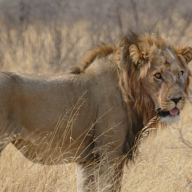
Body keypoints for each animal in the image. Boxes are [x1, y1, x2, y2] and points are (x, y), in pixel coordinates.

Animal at [0, 31, 192, 190]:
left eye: (181, 73)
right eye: (157, 75)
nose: (177, 99)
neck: (130, 91)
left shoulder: (88, 160)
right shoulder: (110, 154)